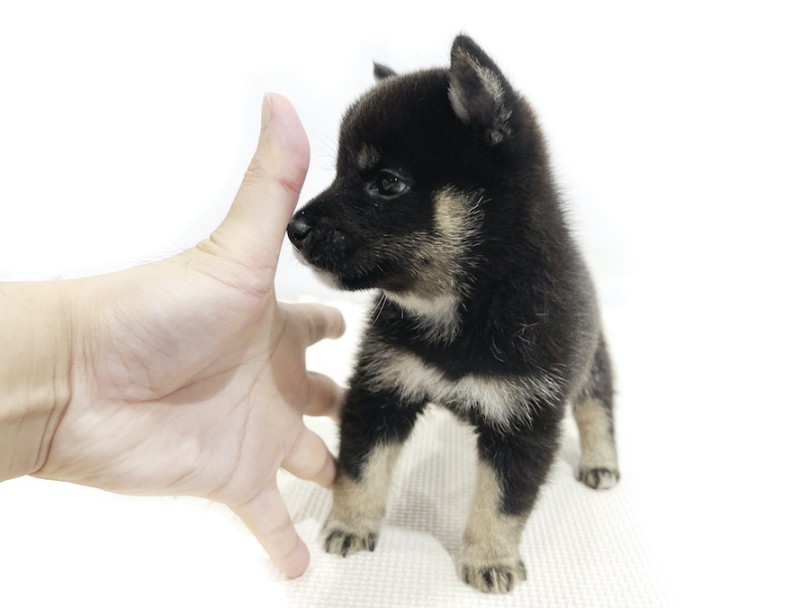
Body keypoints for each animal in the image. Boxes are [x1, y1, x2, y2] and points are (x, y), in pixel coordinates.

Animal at [286, 34, 620, 592]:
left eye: (386, 183)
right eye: (339, 173)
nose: (294, 228)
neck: (464, 310)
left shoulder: (527, 422)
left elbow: (502, 503)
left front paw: (490, 557)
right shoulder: (381, 389)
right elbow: (361, 468)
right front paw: (350, 524)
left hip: (592, 358)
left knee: (598, 408)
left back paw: (601, 461)